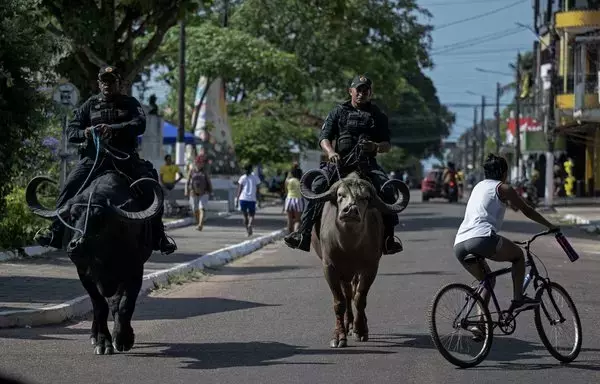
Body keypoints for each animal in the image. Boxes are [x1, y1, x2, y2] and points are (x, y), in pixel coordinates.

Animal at [25, 172, 163, 356]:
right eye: (73, 216)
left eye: (99, 217)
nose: (76, 245)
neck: (103, 255)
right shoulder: (84, 273)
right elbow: (99, 306)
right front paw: (103, 342)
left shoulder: (134, 271)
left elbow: (124, 305)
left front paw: (123, 339)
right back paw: (94, 336)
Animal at [300, 171, 408, 348]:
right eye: (340, 195)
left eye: (365, 197)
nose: (350, 210)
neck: (348, 245)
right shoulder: (329, 267)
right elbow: (339, 302)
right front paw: (339, 336)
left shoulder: (370, 268)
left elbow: (360, 299)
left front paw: (360, 330)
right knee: (347, 294)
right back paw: (348, 323)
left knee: (354, 292)